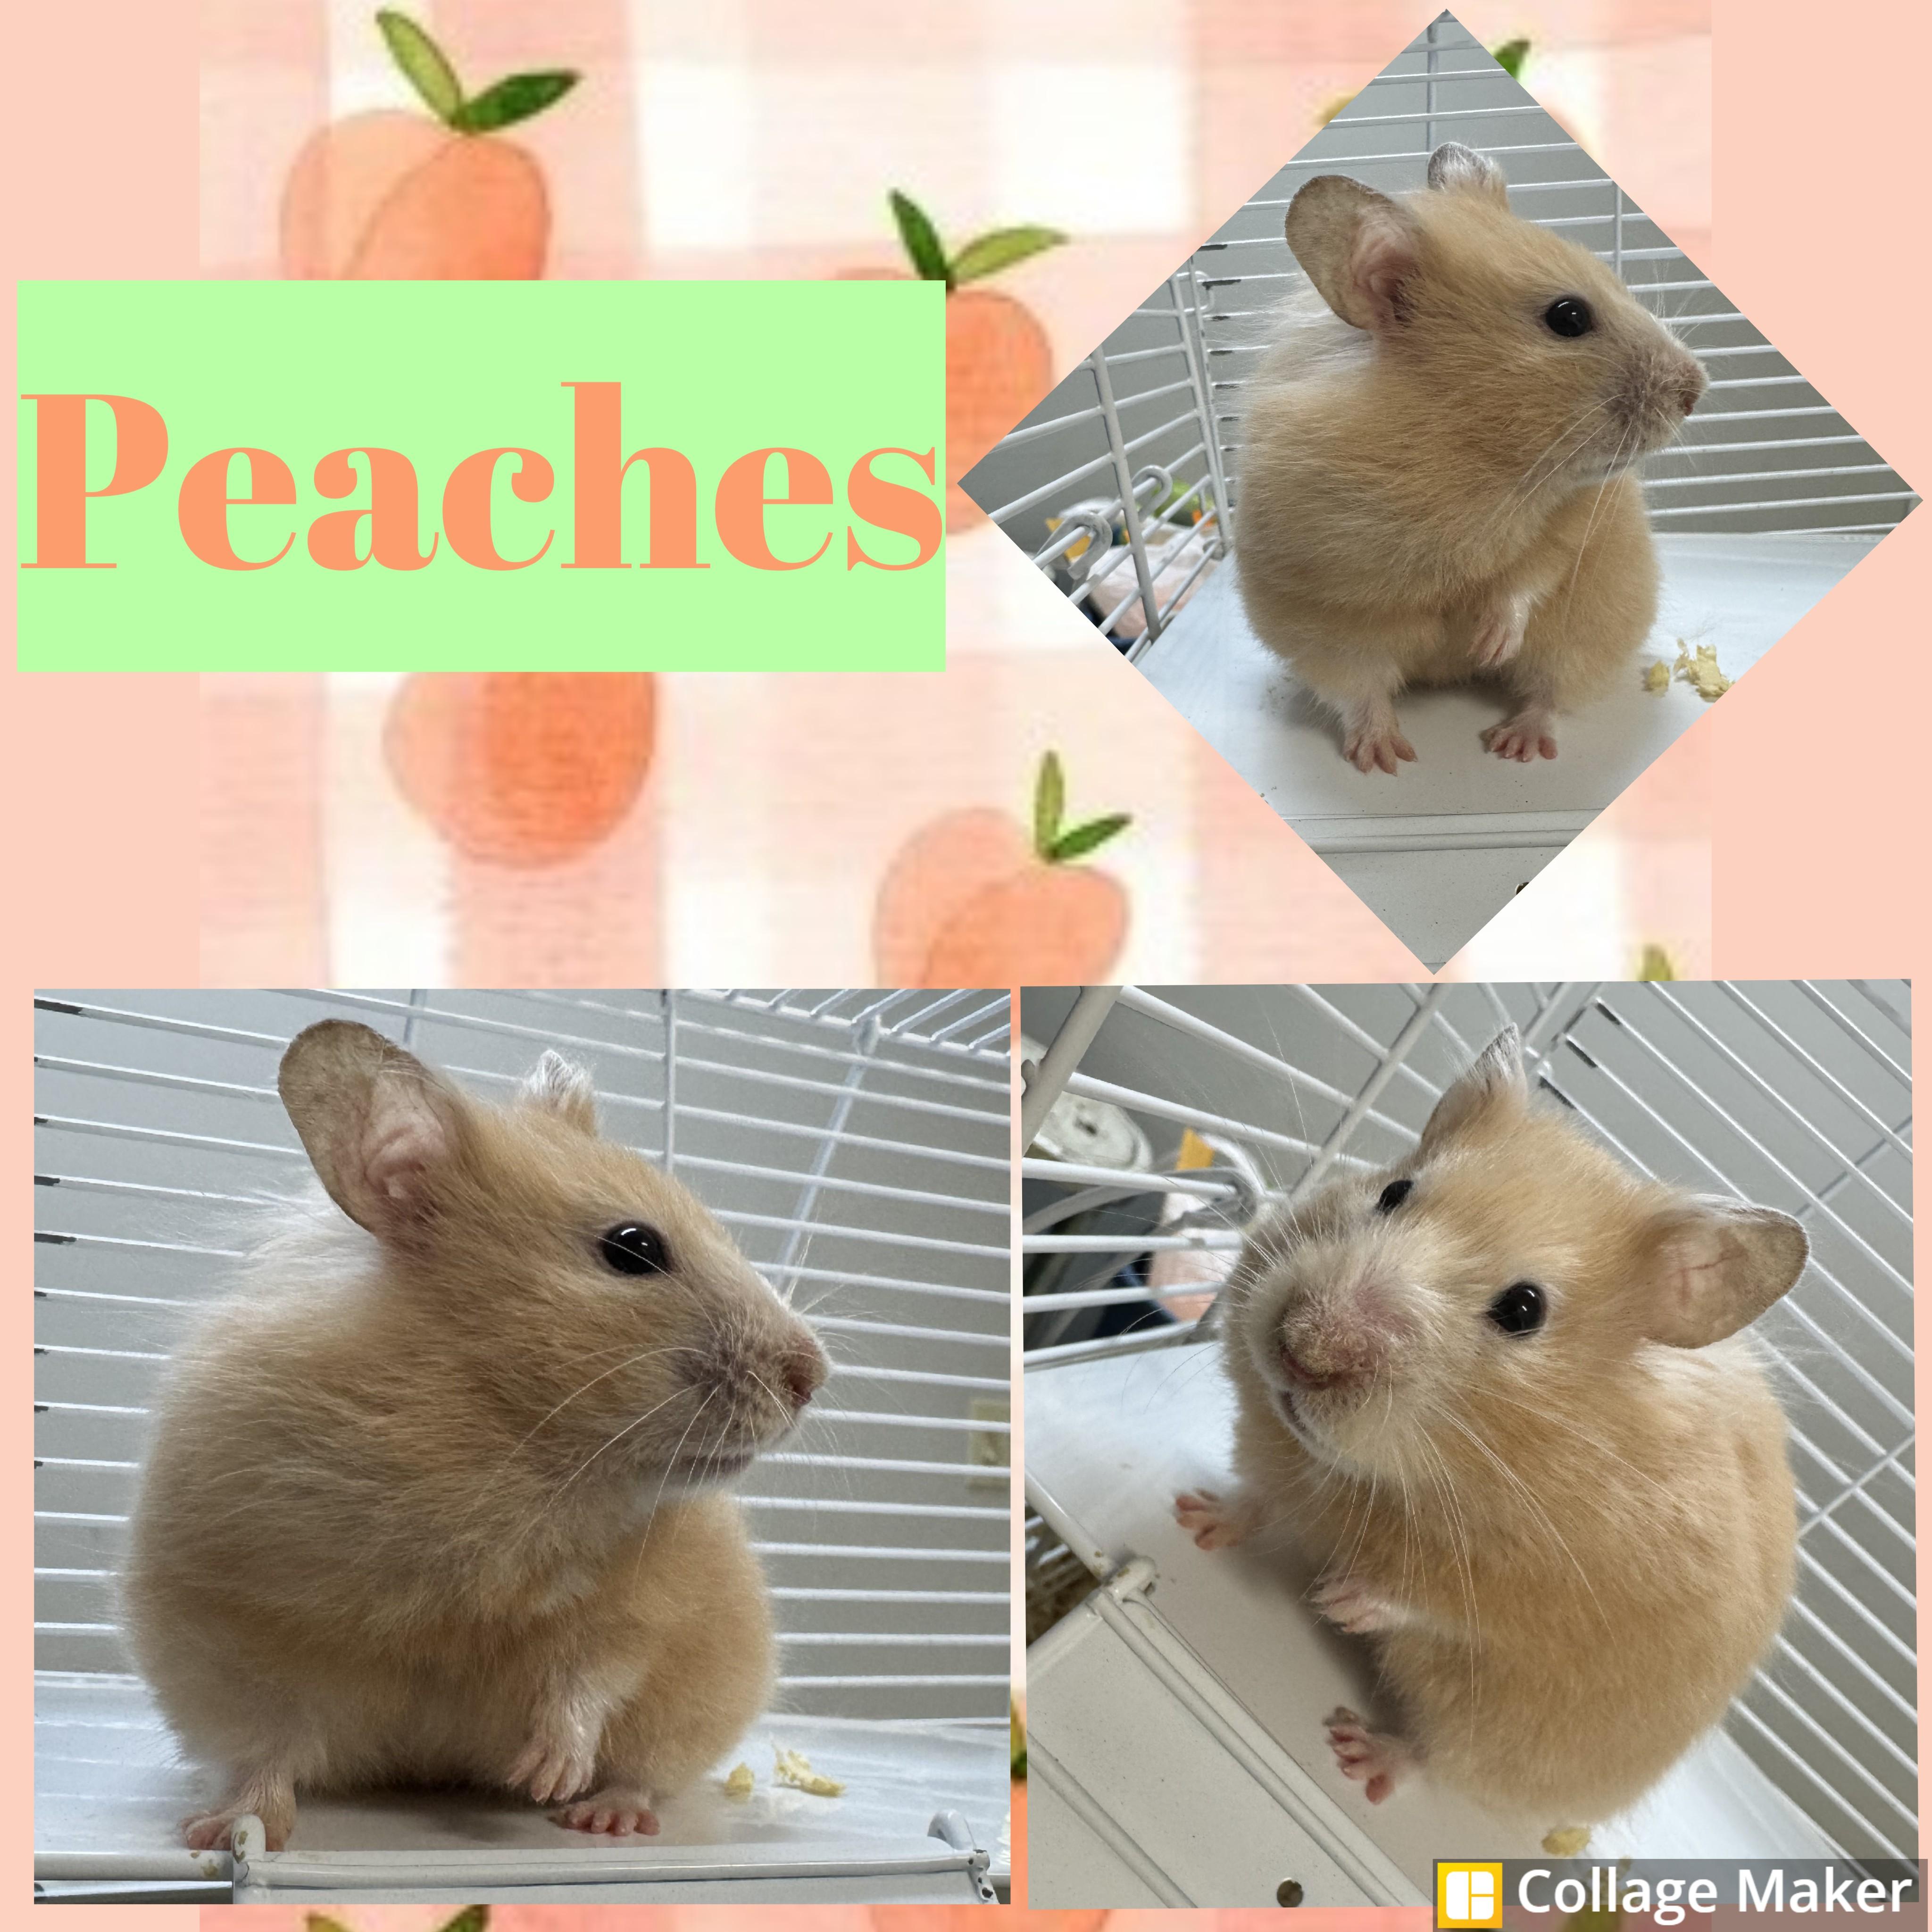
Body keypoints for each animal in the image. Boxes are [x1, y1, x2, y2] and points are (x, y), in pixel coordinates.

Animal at [122, 1019, 829, 1851]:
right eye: (634, 1247)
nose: (814, 1375)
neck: (504, 1441)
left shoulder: (647, 1606)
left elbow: (592, 1676)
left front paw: (544, 1776)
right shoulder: (237, 1619)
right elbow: (271, 1743)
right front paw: (221, 1831)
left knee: (644, 1768)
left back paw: (605, 1816)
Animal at [1173, 1026, 1805, 1835]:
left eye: (1524, 1309)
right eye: (1393, 1193)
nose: (1305, 1352)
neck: (1384, 1479)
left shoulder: (1546, 1593)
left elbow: (1438, 1593)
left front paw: (1342, 1602)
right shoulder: (1276, 1459)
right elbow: (1257, 1499)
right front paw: (1195, 1517)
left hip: (1506, 1742)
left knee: (1439, 1760)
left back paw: (1359, 1753)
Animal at [1235, 142, 1707, 773]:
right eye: (1569, 317)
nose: (1697, 389)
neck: (1471, 451)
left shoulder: (1577, 518)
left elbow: (1529, 574)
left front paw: (1488, 644)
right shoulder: (1318, 595)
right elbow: (1360, 681)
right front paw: (1386, 761)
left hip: (1591, 630)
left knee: (1551, 690)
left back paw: (1516, 746)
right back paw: (1384, 752)